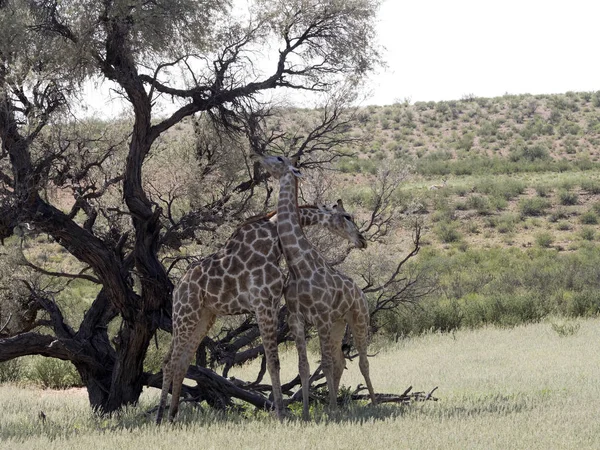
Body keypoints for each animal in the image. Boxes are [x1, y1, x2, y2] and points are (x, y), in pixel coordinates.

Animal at [156, 202, 366, 424]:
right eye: (347, 216)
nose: (361, 240)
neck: (273, 238)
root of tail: (177, 288)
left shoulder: (271, 303)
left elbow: (274, 360)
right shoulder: (264, 304)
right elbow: (273, 361)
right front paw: (280, 413)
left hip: (204, 317)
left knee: (181, 362)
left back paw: (172, 416)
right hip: (185, 313)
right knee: (169, 362)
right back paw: (160, 418)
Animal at [254, 153, 378, 420]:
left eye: (279, 158)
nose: (362, 240)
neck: (299, 265)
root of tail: (361, 292)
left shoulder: (321, 317)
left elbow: (326, 363)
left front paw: (330, 411)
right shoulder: (297, 318)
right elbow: (305, 366)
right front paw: (306, 413)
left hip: (358, 318)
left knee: (362, 361)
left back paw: (373, 403)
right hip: (338, 324)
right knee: (341, 361)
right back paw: (339, 403)